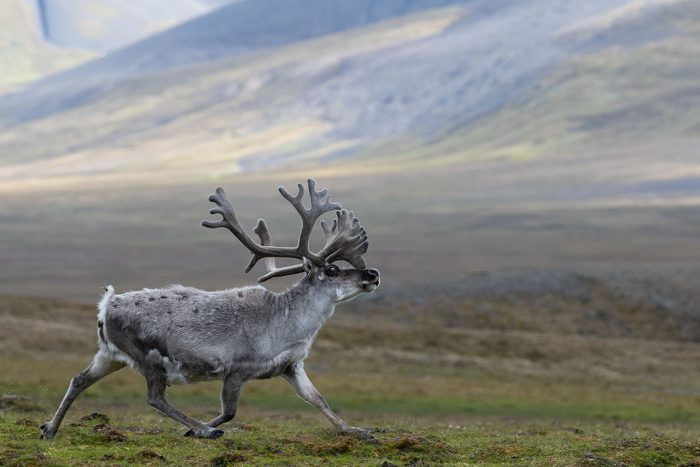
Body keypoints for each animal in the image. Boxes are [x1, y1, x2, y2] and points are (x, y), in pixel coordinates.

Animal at [40, 179, 380, 441]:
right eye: (332, 270)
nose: (373, 274)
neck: (289, 323)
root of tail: (106, 306)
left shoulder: (291, 366)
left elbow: (319, 400)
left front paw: (357, 430)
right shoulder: (236, 370)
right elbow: (229, 412)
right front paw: (200, 428)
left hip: (109, 355)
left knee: (79, 380)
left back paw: (50, 428)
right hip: (149, 359)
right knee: (154, 398)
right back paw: (203, 429)